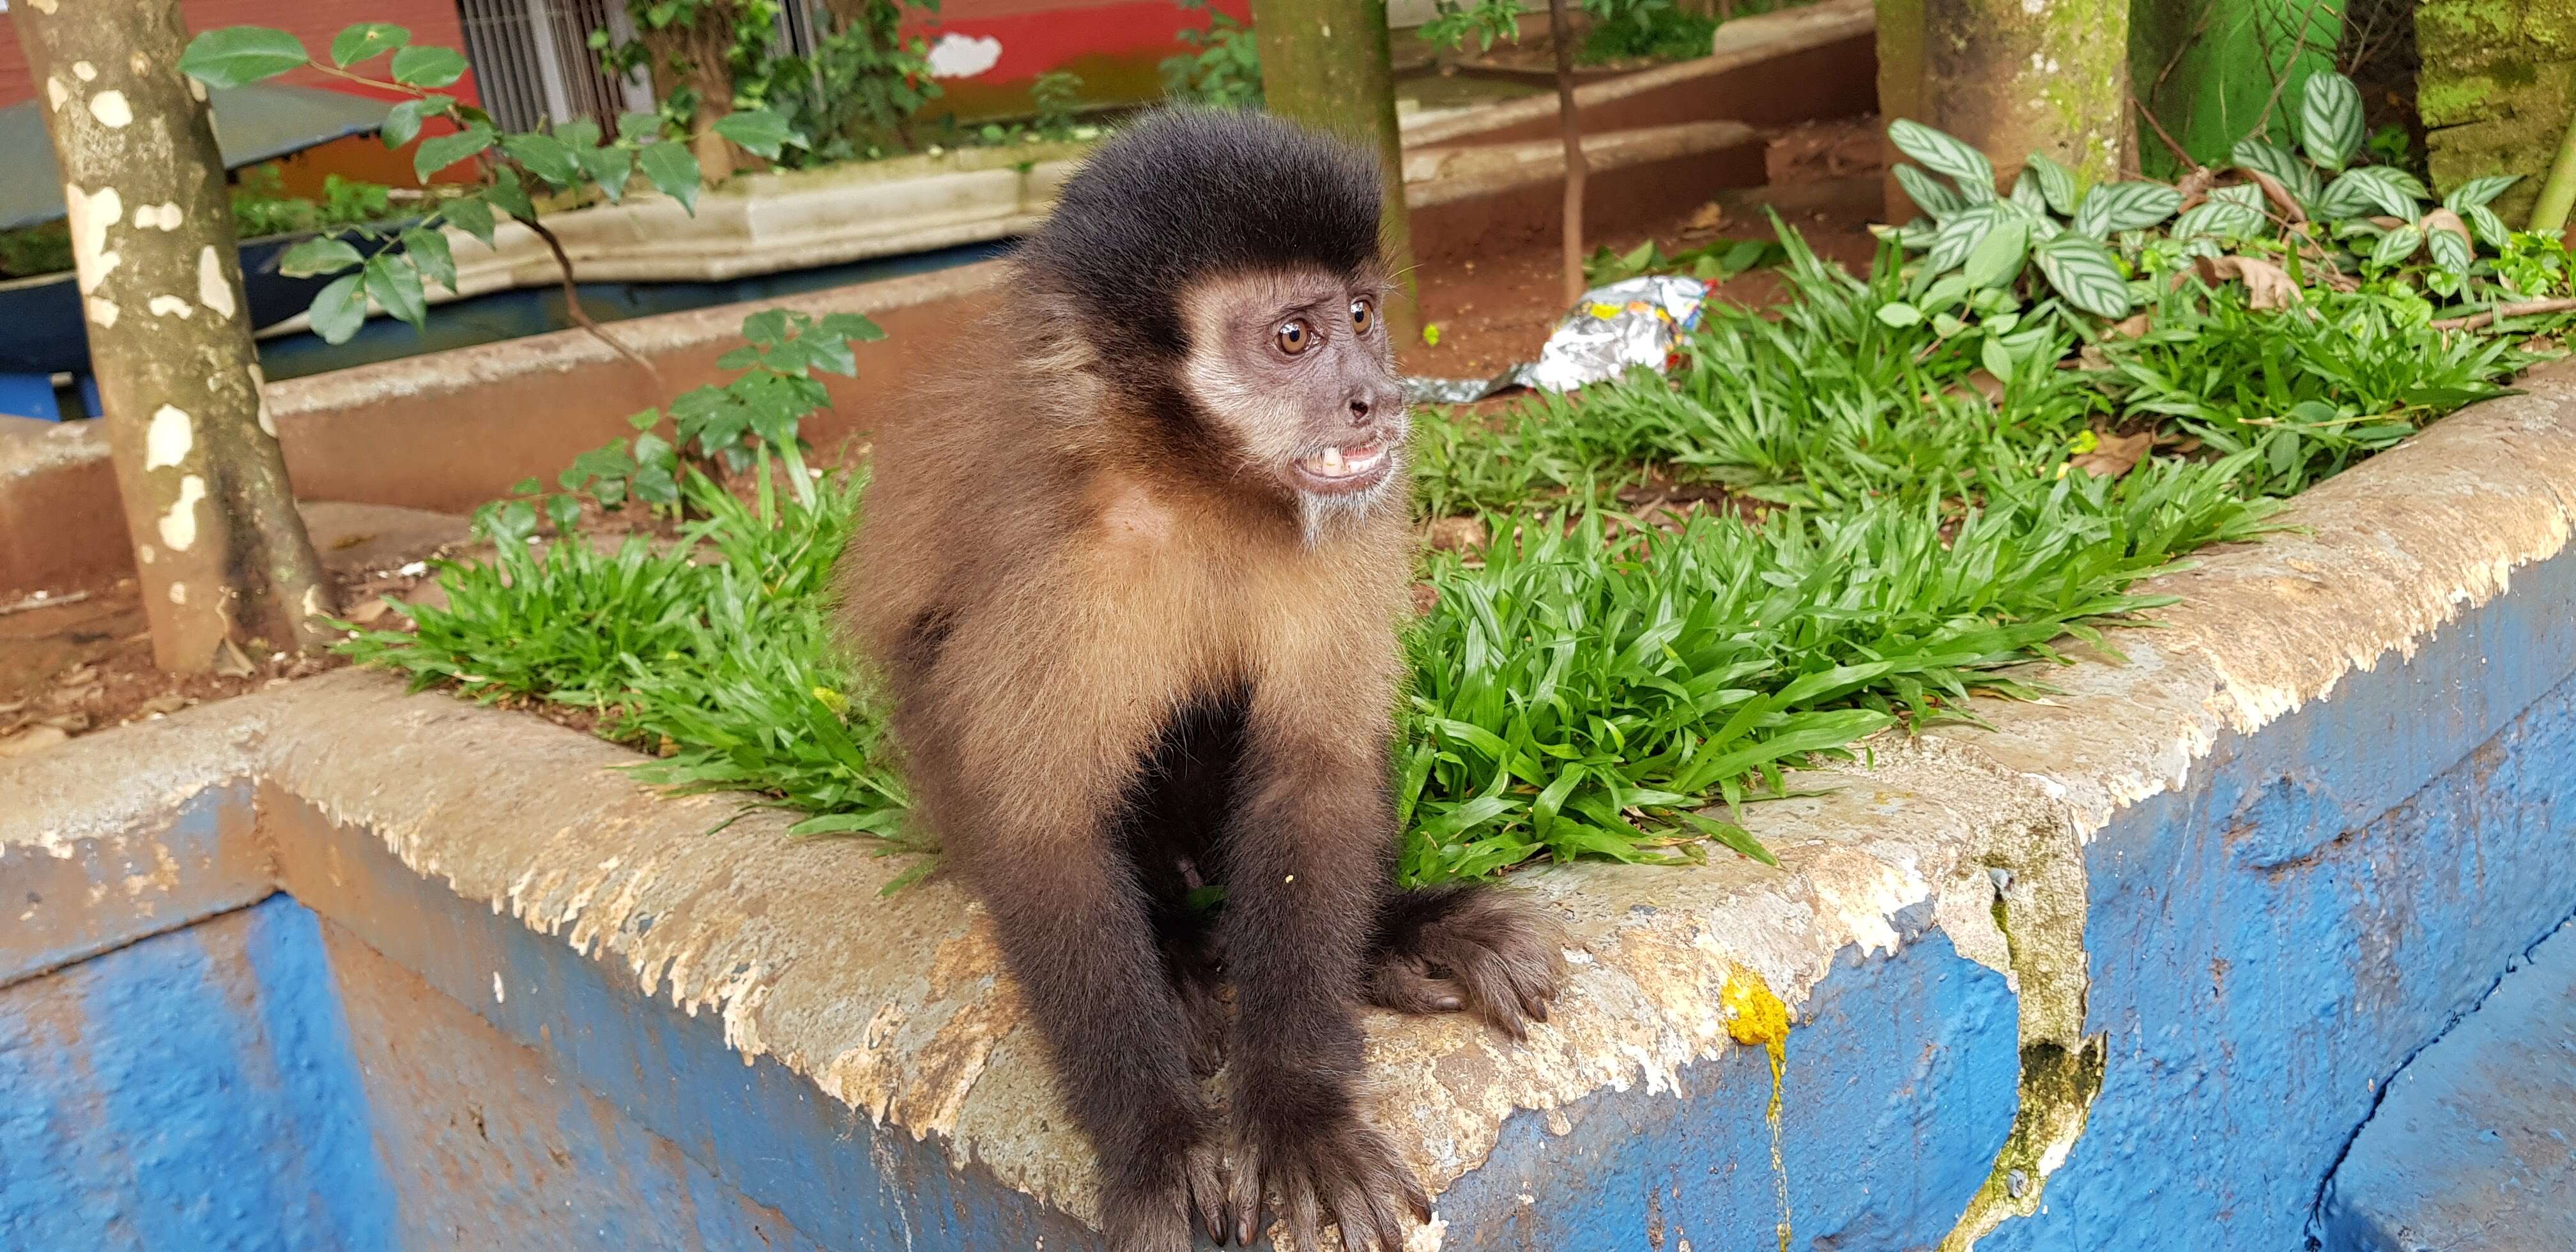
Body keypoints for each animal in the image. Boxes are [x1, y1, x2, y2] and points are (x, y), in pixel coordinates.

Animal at [855, 110, 1556, 1252]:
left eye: (1360, 315)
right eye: (1292, 340)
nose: (1378, 397)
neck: (1194, 483)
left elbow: (1312, 774)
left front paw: (1297, 1108)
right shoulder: (1061, 558)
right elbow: (1043, 832)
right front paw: (1157, 1142)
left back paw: (1395, 936)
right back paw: (1187, 949)